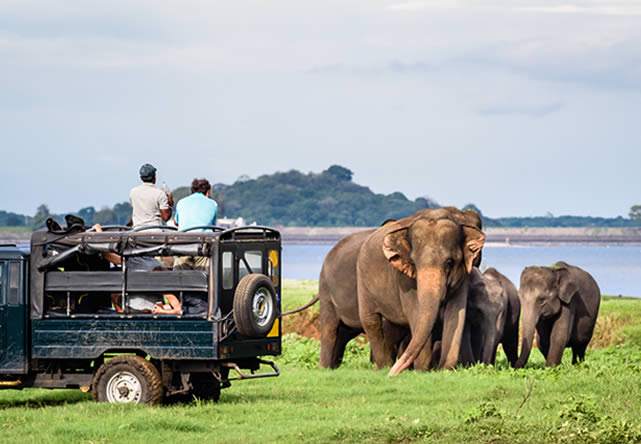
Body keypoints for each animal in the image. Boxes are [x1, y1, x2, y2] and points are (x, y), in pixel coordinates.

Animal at [356, 208, 484, 374]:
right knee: (370, 320)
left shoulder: (463, 277)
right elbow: (416, 314)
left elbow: (456, 314)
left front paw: (444, 370)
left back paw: (383, 368)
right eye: (413, 263)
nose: (392, 375)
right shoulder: (405, 280)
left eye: (449, 263)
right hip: (362, 282)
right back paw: (384, 368)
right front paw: (422, 371)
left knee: (393, 328)